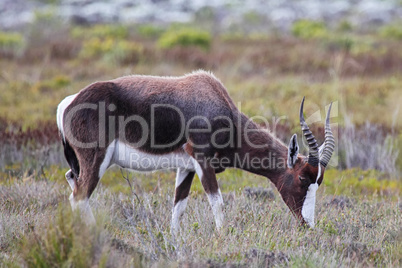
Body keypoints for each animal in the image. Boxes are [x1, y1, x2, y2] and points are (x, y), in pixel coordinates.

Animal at [55, 70, 332, 232]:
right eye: (302, 178)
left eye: (318, 181)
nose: (308, 225)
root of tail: (69, 102)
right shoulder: (202, 162)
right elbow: (217, 202)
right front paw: (223, 238)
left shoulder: (185, 167)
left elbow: (178, 206)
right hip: (96, 160)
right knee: (79, 196)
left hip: (78, 163)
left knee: (72, 182)